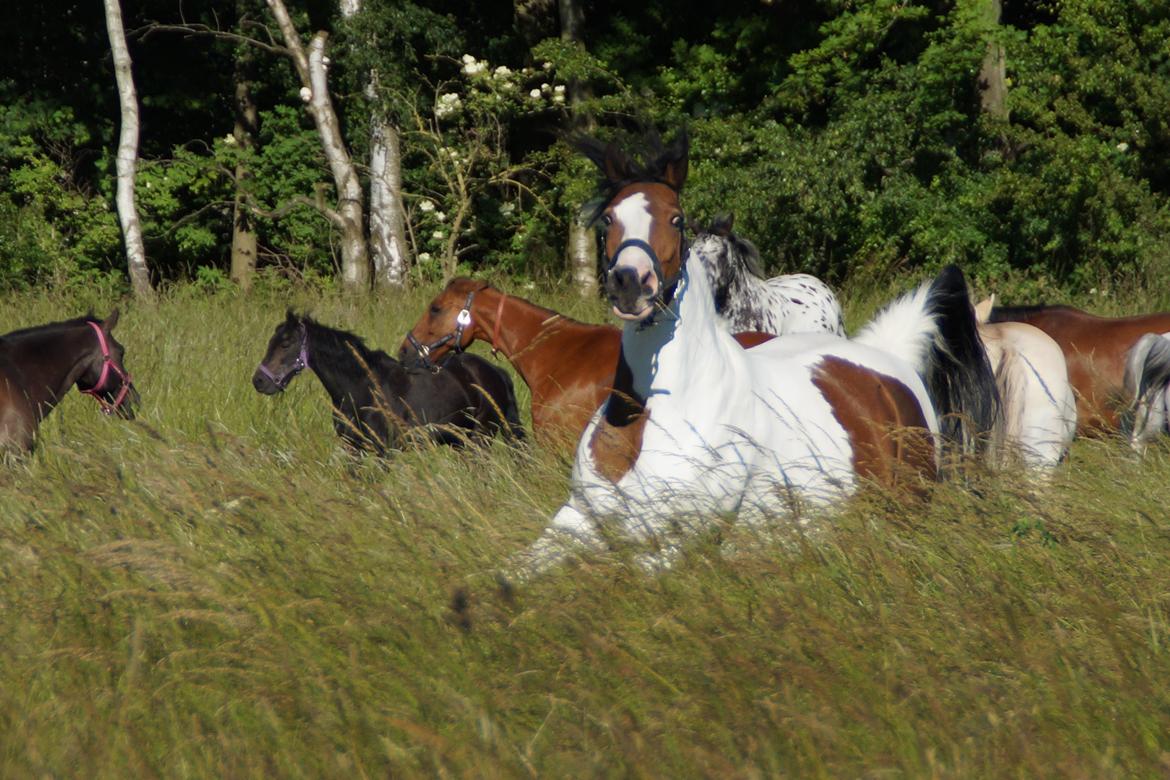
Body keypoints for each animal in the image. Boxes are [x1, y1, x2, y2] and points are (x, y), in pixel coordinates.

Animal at [257, 311, 531, 453]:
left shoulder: (383, 451)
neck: (362, 388)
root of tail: (496, 372)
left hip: (480, 439)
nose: (259, 381)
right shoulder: (353, 448)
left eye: (285, 344)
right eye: (270, 342)